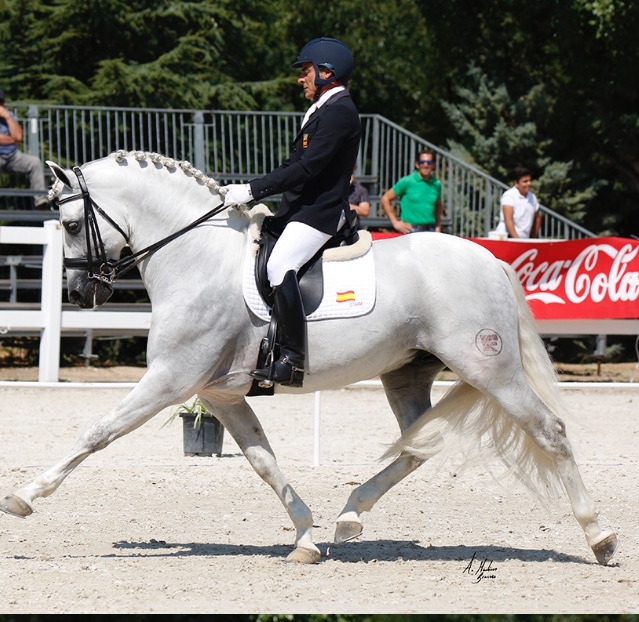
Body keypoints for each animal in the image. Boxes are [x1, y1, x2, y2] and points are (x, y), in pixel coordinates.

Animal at [1, 150, 620, 564]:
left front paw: (24, 498)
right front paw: (304, 540)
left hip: (488, 367)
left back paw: (600, 537)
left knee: (550, 431)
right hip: (407, 372)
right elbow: (263, 460)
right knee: (417, 445)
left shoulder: (170, 380)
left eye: (72, 224)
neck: (196, 253)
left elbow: (98, 432)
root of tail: (491, 259)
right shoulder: (218, 393)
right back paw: (349, 518)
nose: (82, 294)